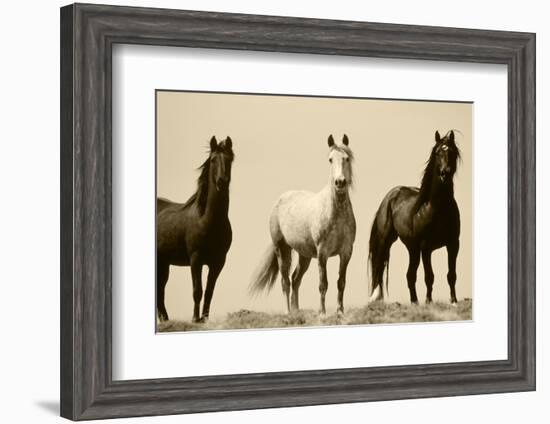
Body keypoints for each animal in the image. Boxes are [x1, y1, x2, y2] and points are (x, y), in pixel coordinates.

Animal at [156, 136, 234, 322]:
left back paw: (165, 320)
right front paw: (194, 319)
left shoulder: (218, 262)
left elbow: (209, 292)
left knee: (160, 290)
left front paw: (204, 319)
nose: (221, 181)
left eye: (229, 159)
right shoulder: (195, 259)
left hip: (163, 263)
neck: (207, 220)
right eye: (213, 160)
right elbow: (197, 291)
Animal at [250, 135, 358, 314]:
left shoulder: (346, 252)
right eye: (330, 159)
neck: (336, 213)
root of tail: (279, 200)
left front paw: (340, 311)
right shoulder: (322, 253)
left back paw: (296, 311)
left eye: (347, 158)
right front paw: (322, 313)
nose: (340, 182)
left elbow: (341, 282)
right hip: (282, 249)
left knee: (295, 279)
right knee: (285, 281)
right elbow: (323, 284)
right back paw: (288, 312)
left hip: (304, 255)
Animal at [368, 130, 464, 304]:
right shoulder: (426, 247)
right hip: (387, 241)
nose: (444, 173)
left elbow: (451, 275)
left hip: (412, 248)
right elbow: (429, 276)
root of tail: (391, 195)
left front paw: (453, 301)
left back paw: (414, 302)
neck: (437, 208)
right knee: (379, 267)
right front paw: (429, 302)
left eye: (452, 152)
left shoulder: (453, 244)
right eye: (437, 152)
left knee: (410, 275)